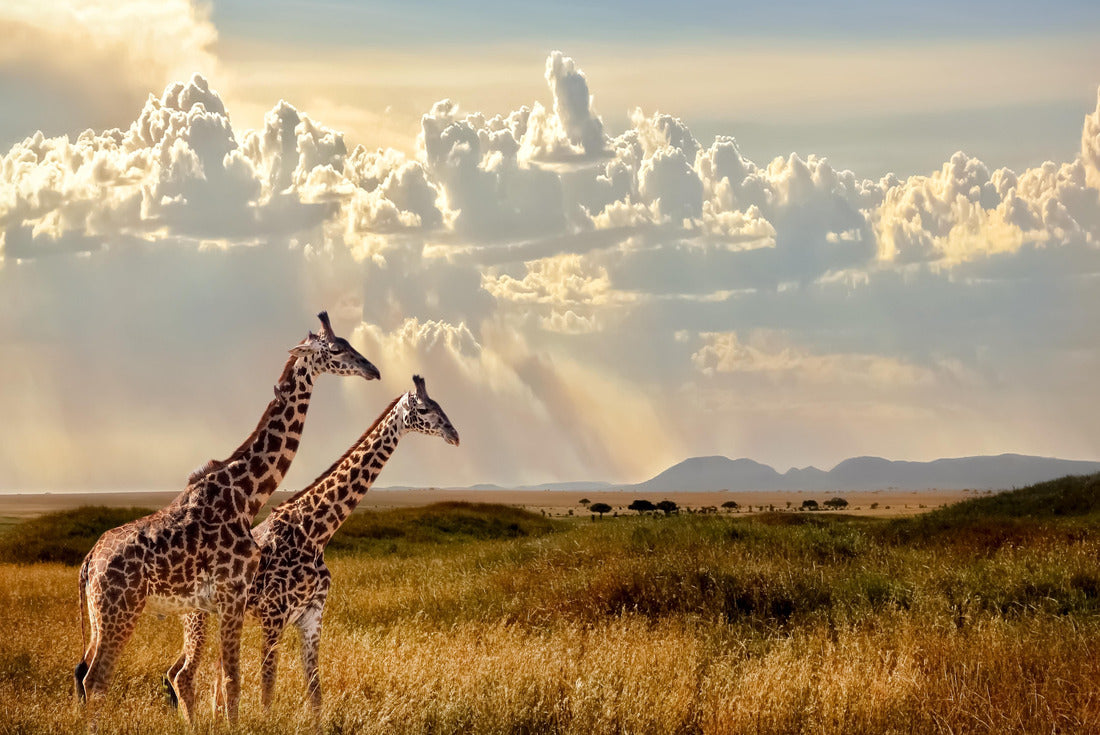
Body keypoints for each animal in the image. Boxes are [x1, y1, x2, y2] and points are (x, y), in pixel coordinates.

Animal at [74, 312, 380, 725]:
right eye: (335, 349)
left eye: (349, 343)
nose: (372, 369)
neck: (245, 496)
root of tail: (89, 563)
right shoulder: (233, 594)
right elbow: (233, 680)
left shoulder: (228, 602)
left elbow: (230, 679)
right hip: (120, 612)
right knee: (99, 679)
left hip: (101, 616)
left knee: (88, 674)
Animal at [164, 375, 459, 719]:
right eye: (424, 408)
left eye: (440, 404)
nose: (454, 435)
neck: (315, 532)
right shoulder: (274, 615)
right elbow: (268, 686)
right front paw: (264, 723)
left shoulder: (312, 614)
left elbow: (316, 690)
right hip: (196, 615)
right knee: (184, 674)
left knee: (192, 672)